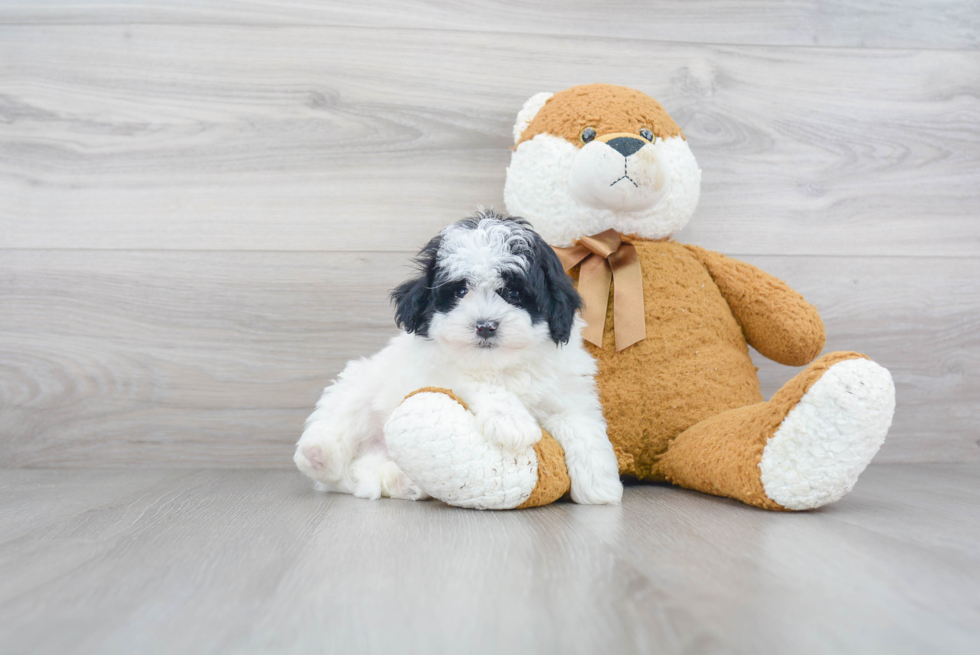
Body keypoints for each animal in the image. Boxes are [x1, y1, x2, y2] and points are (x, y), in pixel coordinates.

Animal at [294, 210, 624, 508]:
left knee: (364, 473)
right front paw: (511, 421)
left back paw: (405, 483)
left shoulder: (567, 392)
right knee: (338, 434)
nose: (485, 325)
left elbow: (584, 427)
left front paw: (600, 486)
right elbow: (476, 383)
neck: (499, 365)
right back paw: (318, 454)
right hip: (359, 386)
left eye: (514, 294)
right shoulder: (437, 371)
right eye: (461, 290)